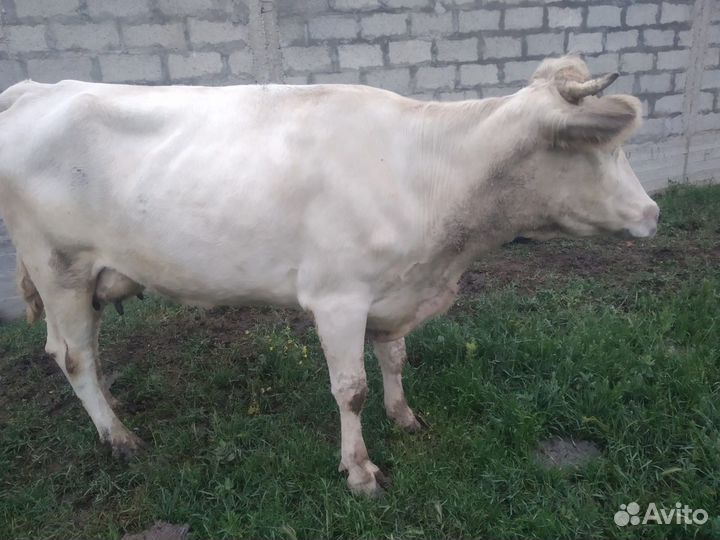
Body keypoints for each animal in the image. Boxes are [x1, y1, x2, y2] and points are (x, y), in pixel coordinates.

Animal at [0, 55, 659, 496]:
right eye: (602, 148)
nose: (652, 212)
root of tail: (37, 88)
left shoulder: (396, 291)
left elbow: (393, 358)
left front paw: (405, 417)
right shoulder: (338, 297)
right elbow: (351, 389)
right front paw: (361, 471)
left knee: (85, 354)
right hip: (59, 267)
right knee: (73, 355)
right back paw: (119, 438)